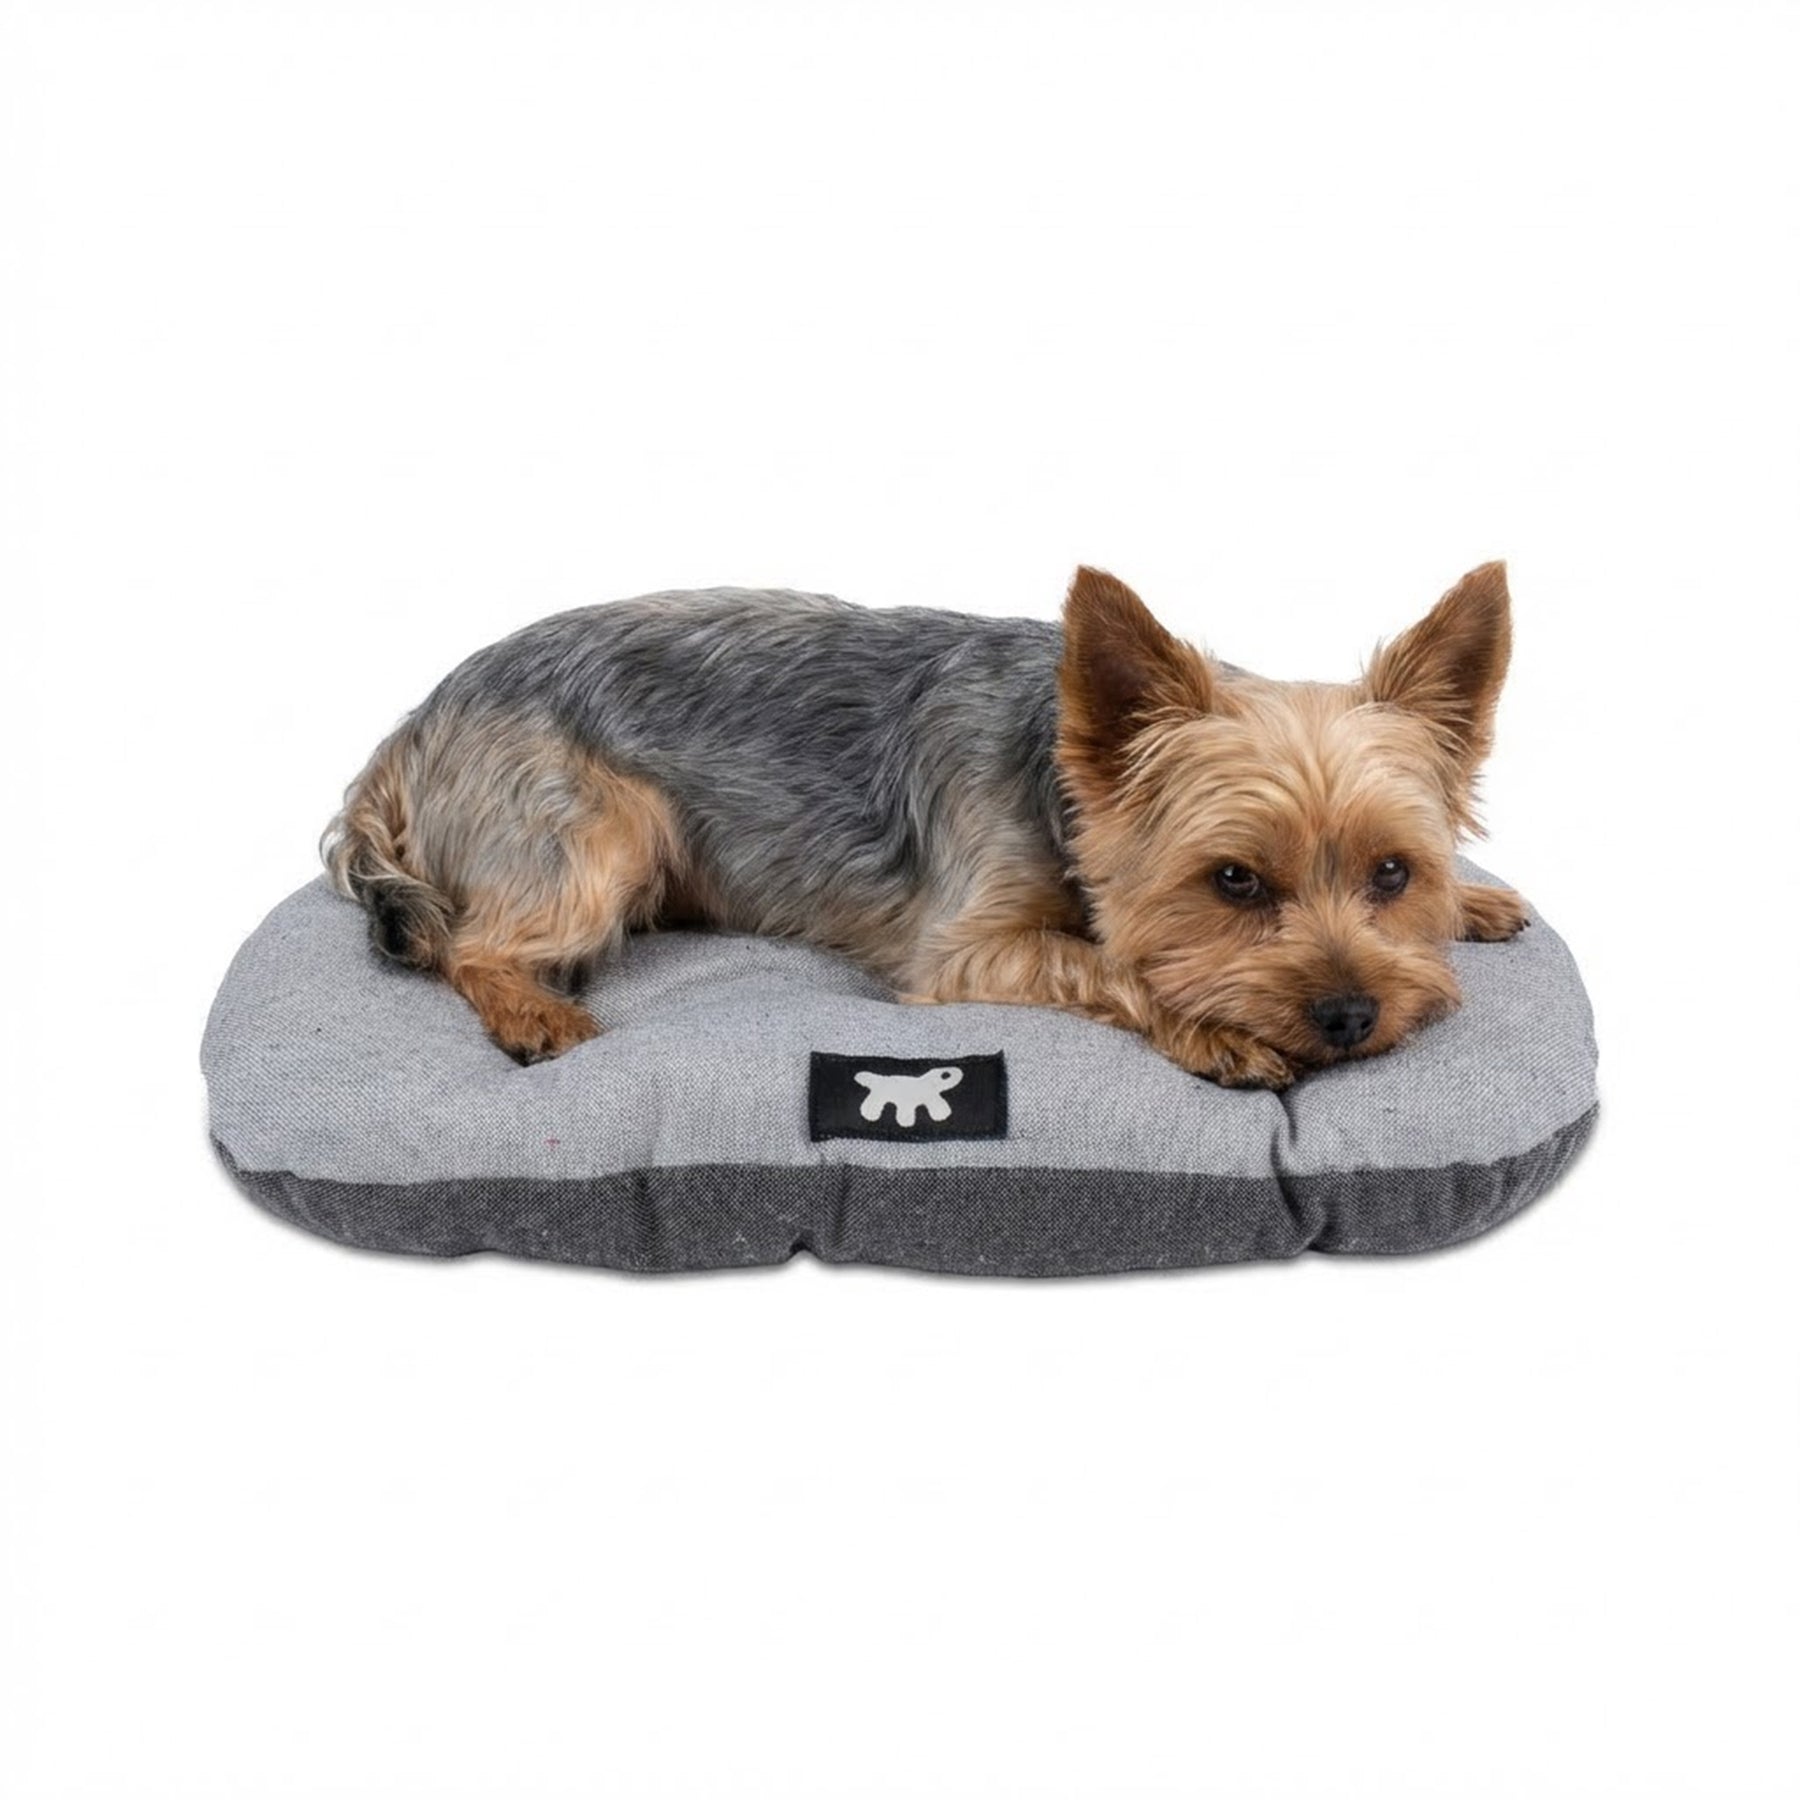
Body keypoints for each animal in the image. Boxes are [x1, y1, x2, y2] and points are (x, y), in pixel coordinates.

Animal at [323, 563, 1526, 1088]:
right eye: (1232, 881)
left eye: (1393, 874)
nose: (1351, 1016)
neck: (1059, 778)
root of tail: (414, 723)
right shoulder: (966, 950)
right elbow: (1112, 963)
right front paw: (1218, 1028)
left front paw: (1474, 900)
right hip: (598, 831)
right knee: (473, 945)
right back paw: (533, 1012)